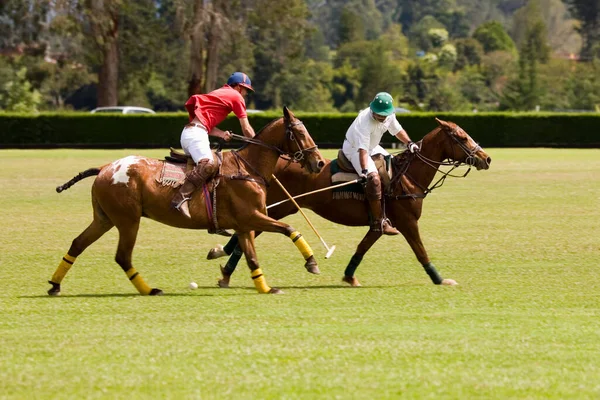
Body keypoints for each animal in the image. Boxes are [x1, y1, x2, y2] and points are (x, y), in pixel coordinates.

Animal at [49, 108, 326, 296]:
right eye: (300, 132)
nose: (319, 163)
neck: (249, 168)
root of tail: (105, 167)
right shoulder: (252, 217)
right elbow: (290, 229)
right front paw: (311, 262)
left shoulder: (244, 224)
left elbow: (252, 257)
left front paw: (265, 287)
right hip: (128, 220)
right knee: (122, 257)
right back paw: (149, 289)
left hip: (105, 218)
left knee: (78, 244)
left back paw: (54, 285)